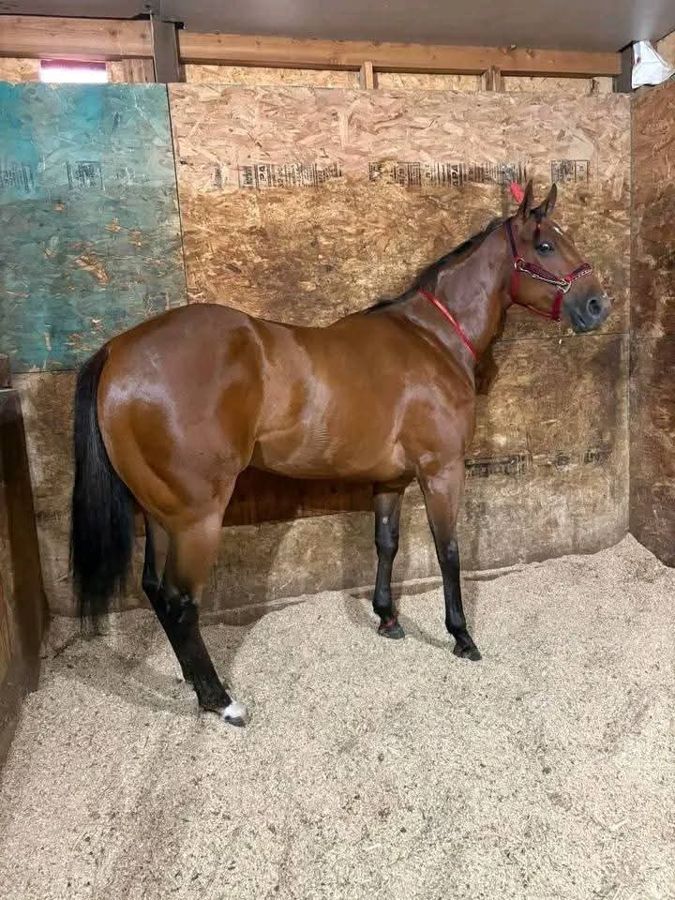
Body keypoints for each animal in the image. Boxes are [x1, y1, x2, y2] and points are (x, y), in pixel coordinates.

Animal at [71, 181, 611, 726]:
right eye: (546, 245)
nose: (597, 305)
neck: (432, 340)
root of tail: (117, 351)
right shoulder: (442, 471)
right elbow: (449, 551)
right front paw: (461, 636)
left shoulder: (391, 480)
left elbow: (386, 543)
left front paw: (387, 617)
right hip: (196, 518)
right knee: (181, 601)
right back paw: (220, 700)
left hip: (161, 513)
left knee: (156, 591)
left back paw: (194, 680)